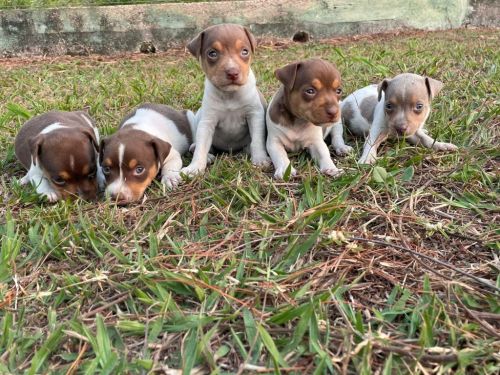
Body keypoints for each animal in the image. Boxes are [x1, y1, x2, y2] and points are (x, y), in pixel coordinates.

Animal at [182, 23, 272, 176]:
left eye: (245, 51)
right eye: (212, 53)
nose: (232, 73)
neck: (230, 95)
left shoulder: (255, 115)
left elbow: (257, 140)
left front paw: (260, 159)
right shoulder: (207, 122)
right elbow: (201, 147)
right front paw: (194, 168)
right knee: (197, 146)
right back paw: (208, 156)